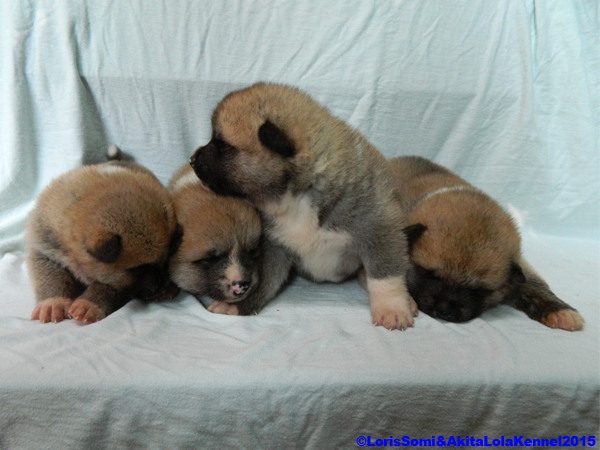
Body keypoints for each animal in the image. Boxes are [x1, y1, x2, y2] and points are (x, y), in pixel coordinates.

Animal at [26, 146, 180, 324]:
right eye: (138, 269)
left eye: (165, 261)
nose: (161, 285)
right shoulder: (43, 251)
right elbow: (51, 278)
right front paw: (53, 303)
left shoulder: (115, 282)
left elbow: (106, 287)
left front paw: (89, 305)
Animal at [190, 83, 417, 329]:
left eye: (221, 145)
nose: (191, 160)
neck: (298, 196)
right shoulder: (272, 247)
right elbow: (261, 279)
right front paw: (241, 303)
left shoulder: (380, 229)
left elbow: (385, 276)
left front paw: (392, 308)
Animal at [389, 155, 584, 331]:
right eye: (429, 275)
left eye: (478, 290)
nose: (444, 312)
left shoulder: (520, 264)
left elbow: (534, 283)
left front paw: (560, 310)